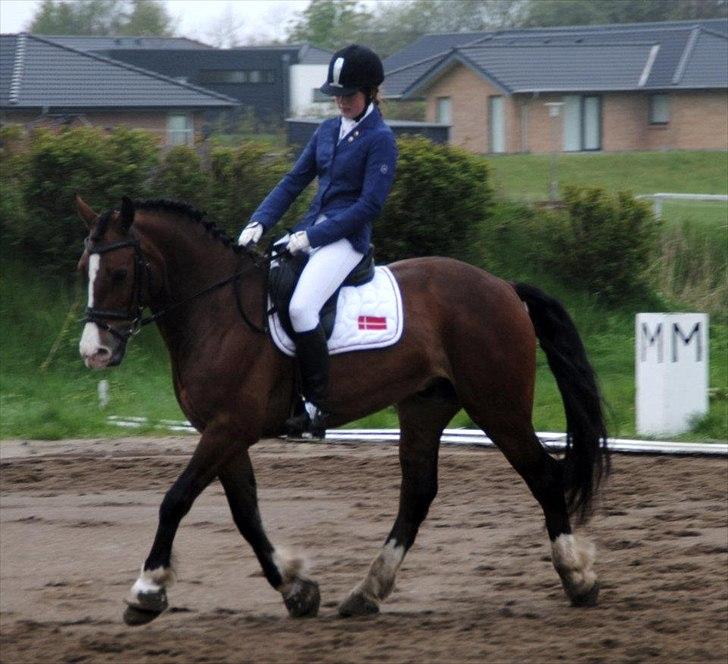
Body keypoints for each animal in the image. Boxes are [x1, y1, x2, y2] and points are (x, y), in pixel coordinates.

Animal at [75, 195, 608, 624]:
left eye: (120, 273)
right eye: (85, 270)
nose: (95, 352)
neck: (217, 310)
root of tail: (504, 287)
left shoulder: (227, 429)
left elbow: (176, 500)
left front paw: (146, 592)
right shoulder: (223, 433)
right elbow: (246, 514)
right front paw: (296, 591)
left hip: (498, 406)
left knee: (543, 475)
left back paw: (577, 578)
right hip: (425, 406)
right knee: (418, 492)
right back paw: (366, 592)